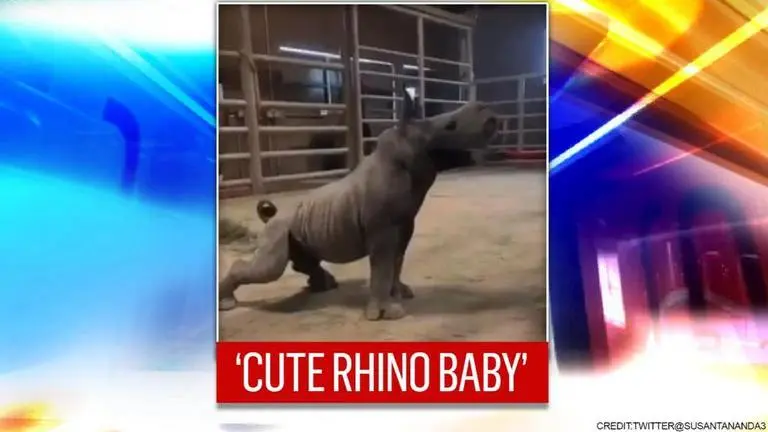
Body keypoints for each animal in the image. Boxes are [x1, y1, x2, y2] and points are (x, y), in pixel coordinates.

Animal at [219, 88, 498, 320]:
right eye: (450, 126)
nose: (488, 112)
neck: (405, 151)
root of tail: (271, 216)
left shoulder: (405, 225)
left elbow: (397, 261)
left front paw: (401, 293)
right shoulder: (382, 229)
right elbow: (383, 266)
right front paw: (387, 313)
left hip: (296, 225)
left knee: (301, 259)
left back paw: (324, 286)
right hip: (279, 229)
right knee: (270, 269)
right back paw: (227, 305)